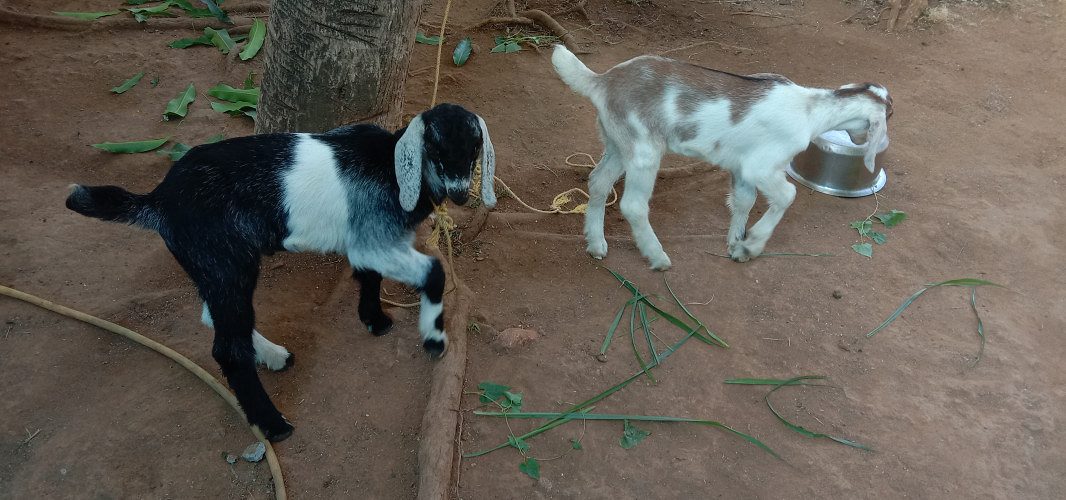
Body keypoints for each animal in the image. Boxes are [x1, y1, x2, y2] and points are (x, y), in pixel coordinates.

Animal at [65, 103, 496, 441]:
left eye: (475, 147)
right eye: (435, 149)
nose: (460, 193)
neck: (390, 165)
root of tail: (158, 200)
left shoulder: (367, 239)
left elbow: (369, 275)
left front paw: (373, 319)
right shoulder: (376, 239)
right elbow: (433, 272)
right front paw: (434, 339)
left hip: (216, 269)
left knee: (213, 318)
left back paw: (272, 356)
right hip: (227, 264)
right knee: (227, 347)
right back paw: (272, 424)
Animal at [551, 45, 892, 269]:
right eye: (889, 114)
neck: (811, 110)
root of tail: (603, 82)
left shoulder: (741, 166)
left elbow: (744, 200)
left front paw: (735, 243)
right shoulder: (761, 166)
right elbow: (787, 195)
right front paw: (752, 245)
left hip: (618, 143)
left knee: (598, 182)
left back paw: (596, 245)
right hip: (643, 148)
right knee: (633, 204)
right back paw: (657, 257)